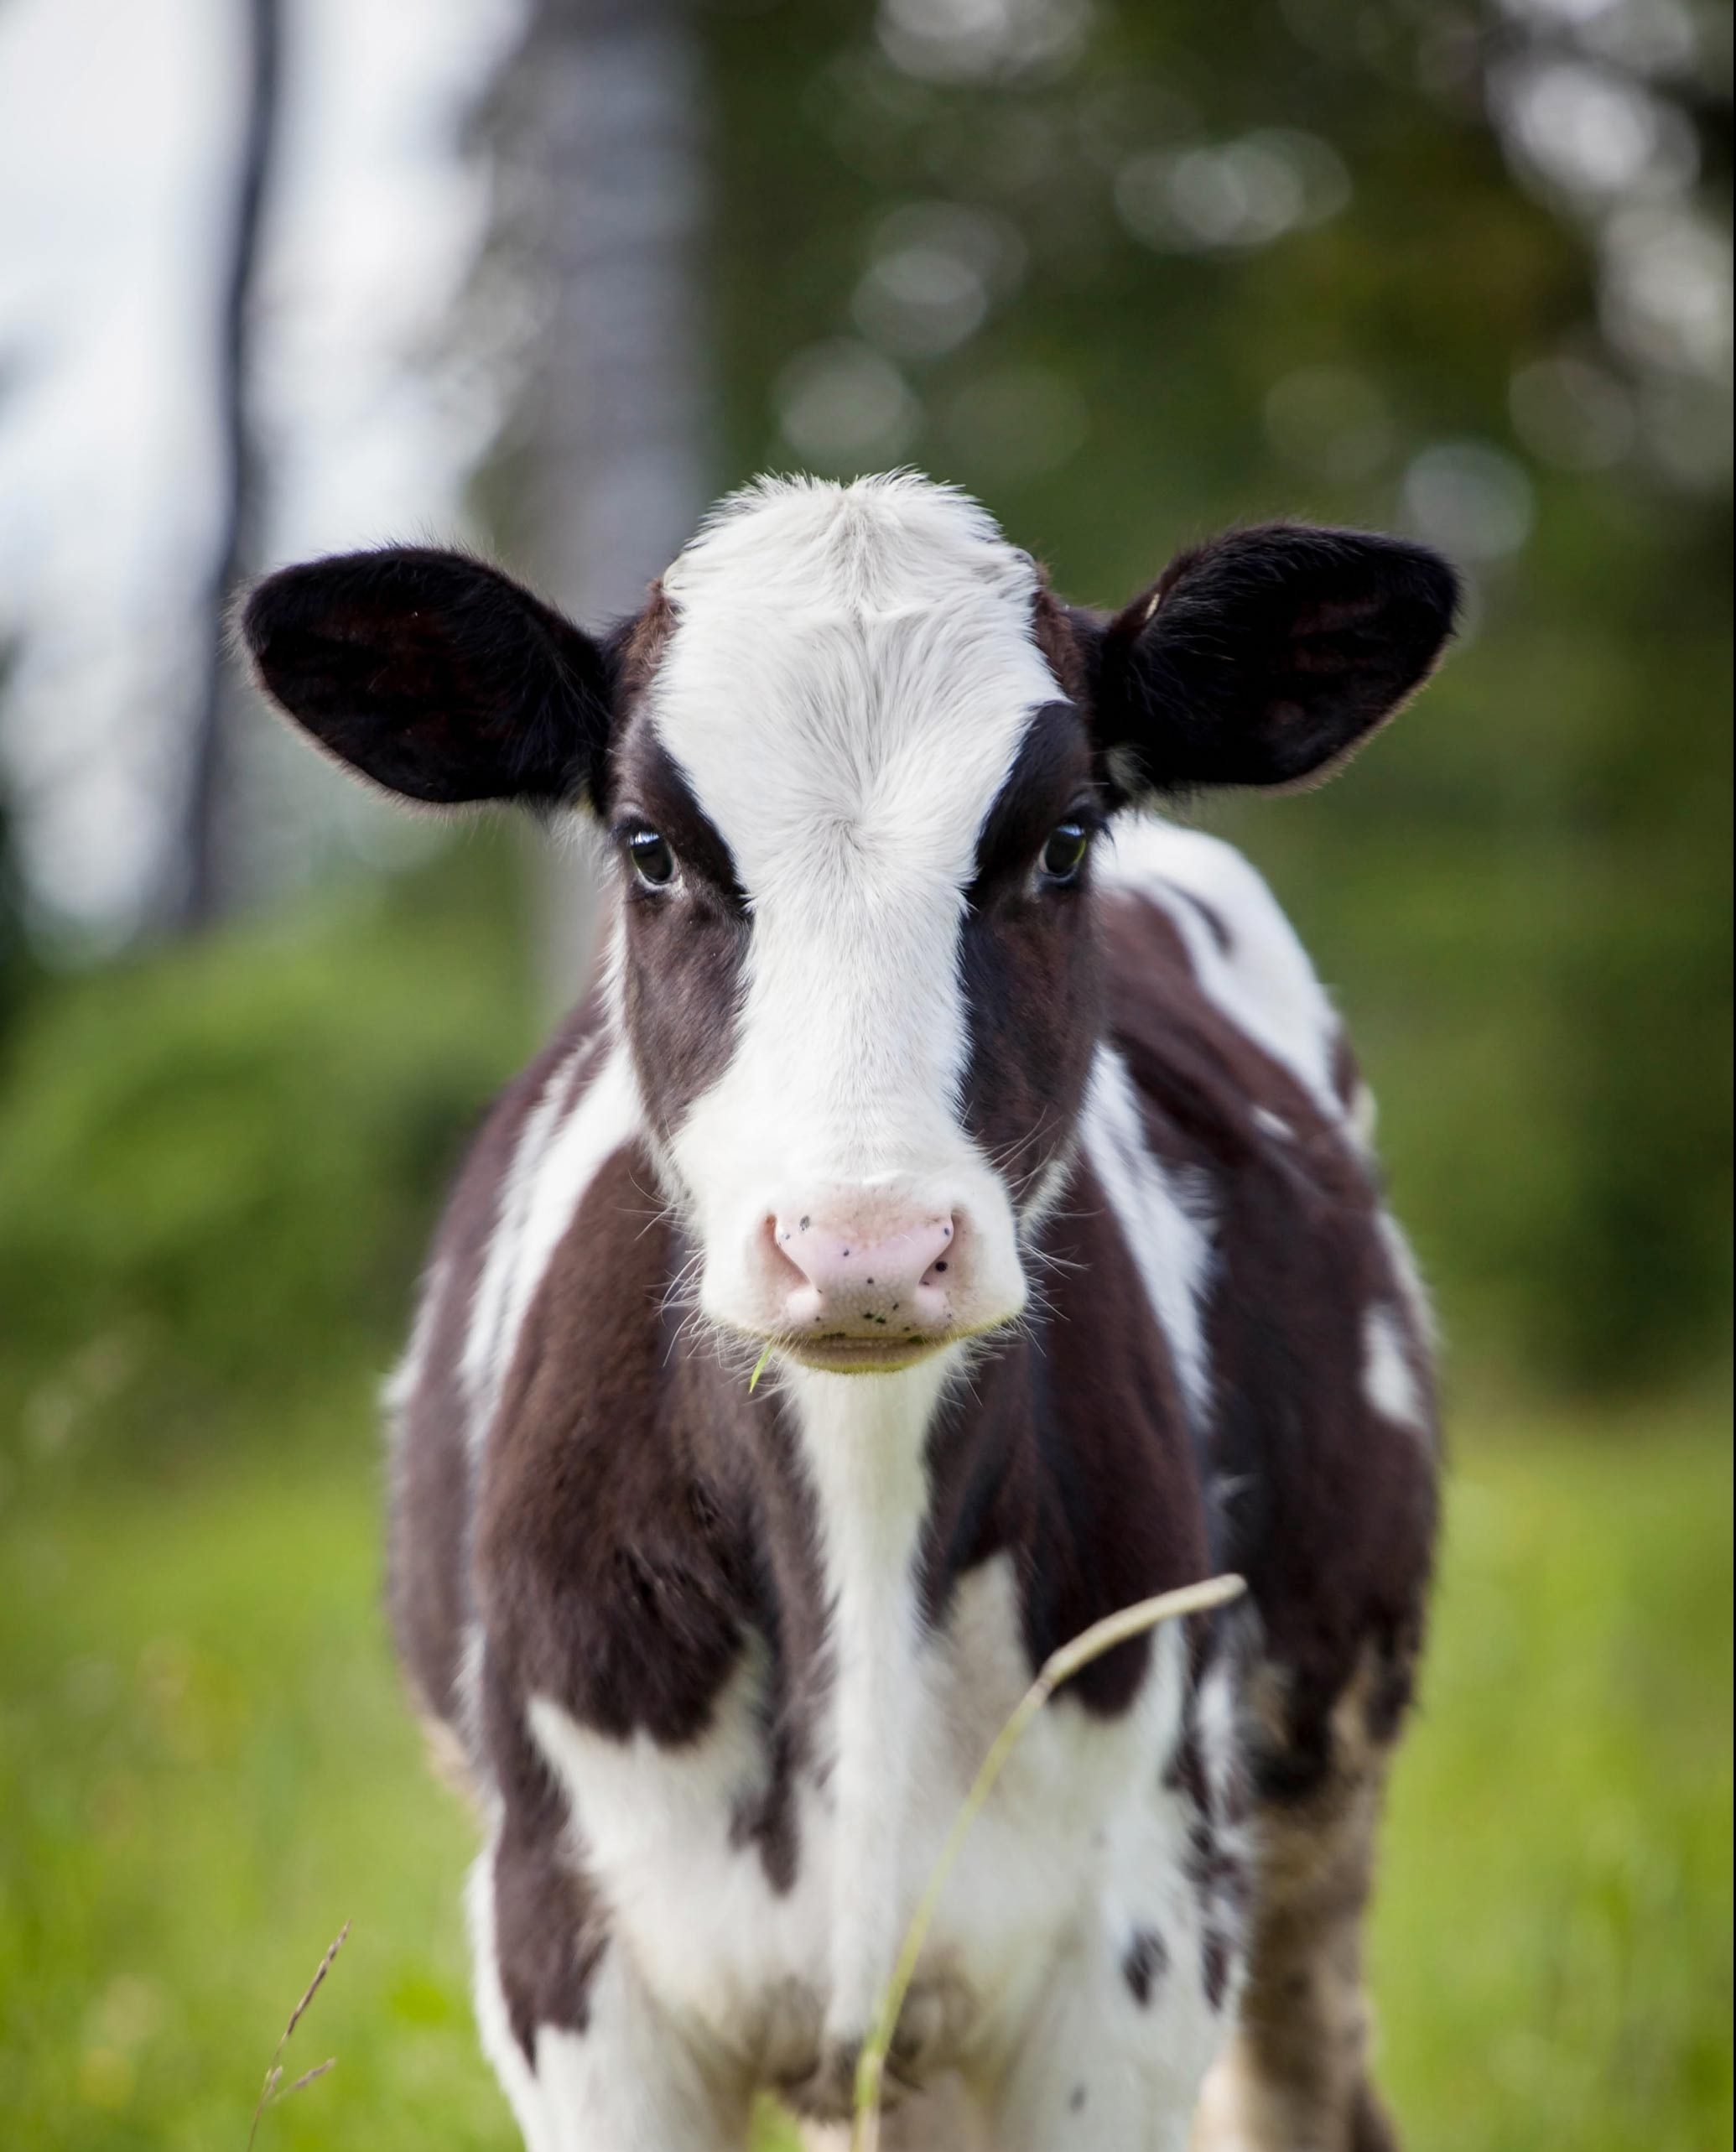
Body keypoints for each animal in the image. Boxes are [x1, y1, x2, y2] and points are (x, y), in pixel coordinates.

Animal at [244, 476, 1463, 2152]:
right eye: (650, 847)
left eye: (1061, 841)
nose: (865, 1245)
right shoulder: (570, 1967)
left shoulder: (1133, 1954)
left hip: (1313, 1805)